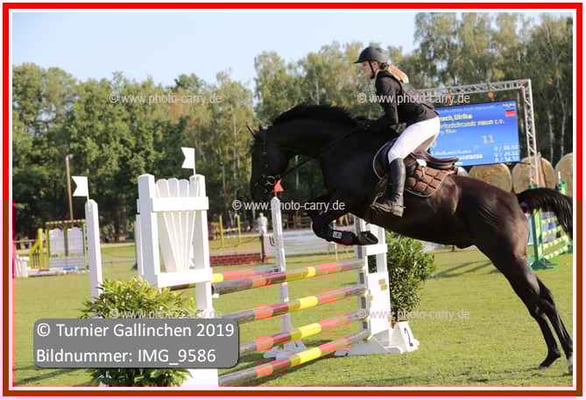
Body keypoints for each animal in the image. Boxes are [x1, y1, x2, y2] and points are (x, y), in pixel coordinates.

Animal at [249, 104, 573, 374]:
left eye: (259, 155)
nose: (256, 191)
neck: (341, 148)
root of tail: (515, 198)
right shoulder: (338, 200)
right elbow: (311, 210)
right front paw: (360, 235)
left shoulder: (349, 200)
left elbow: (319, 224)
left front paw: (361, 235)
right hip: (510, 259)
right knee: (538, 299)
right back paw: (553, 355)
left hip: (508, 257)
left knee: (540, 300)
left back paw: (567, 357)